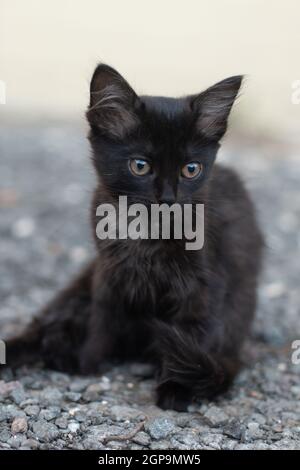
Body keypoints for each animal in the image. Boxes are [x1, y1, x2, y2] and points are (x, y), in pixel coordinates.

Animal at [4, 65, 262, 412]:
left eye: (191, 169)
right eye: (140, 166)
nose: (168, 198)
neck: (147, 234)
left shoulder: (203, 285)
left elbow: (194, 333)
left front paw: (177, 388)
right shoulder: (107, 275)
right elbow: (101, 321)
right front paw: (86, 363)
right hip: (78, 286)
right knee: (43, 326)